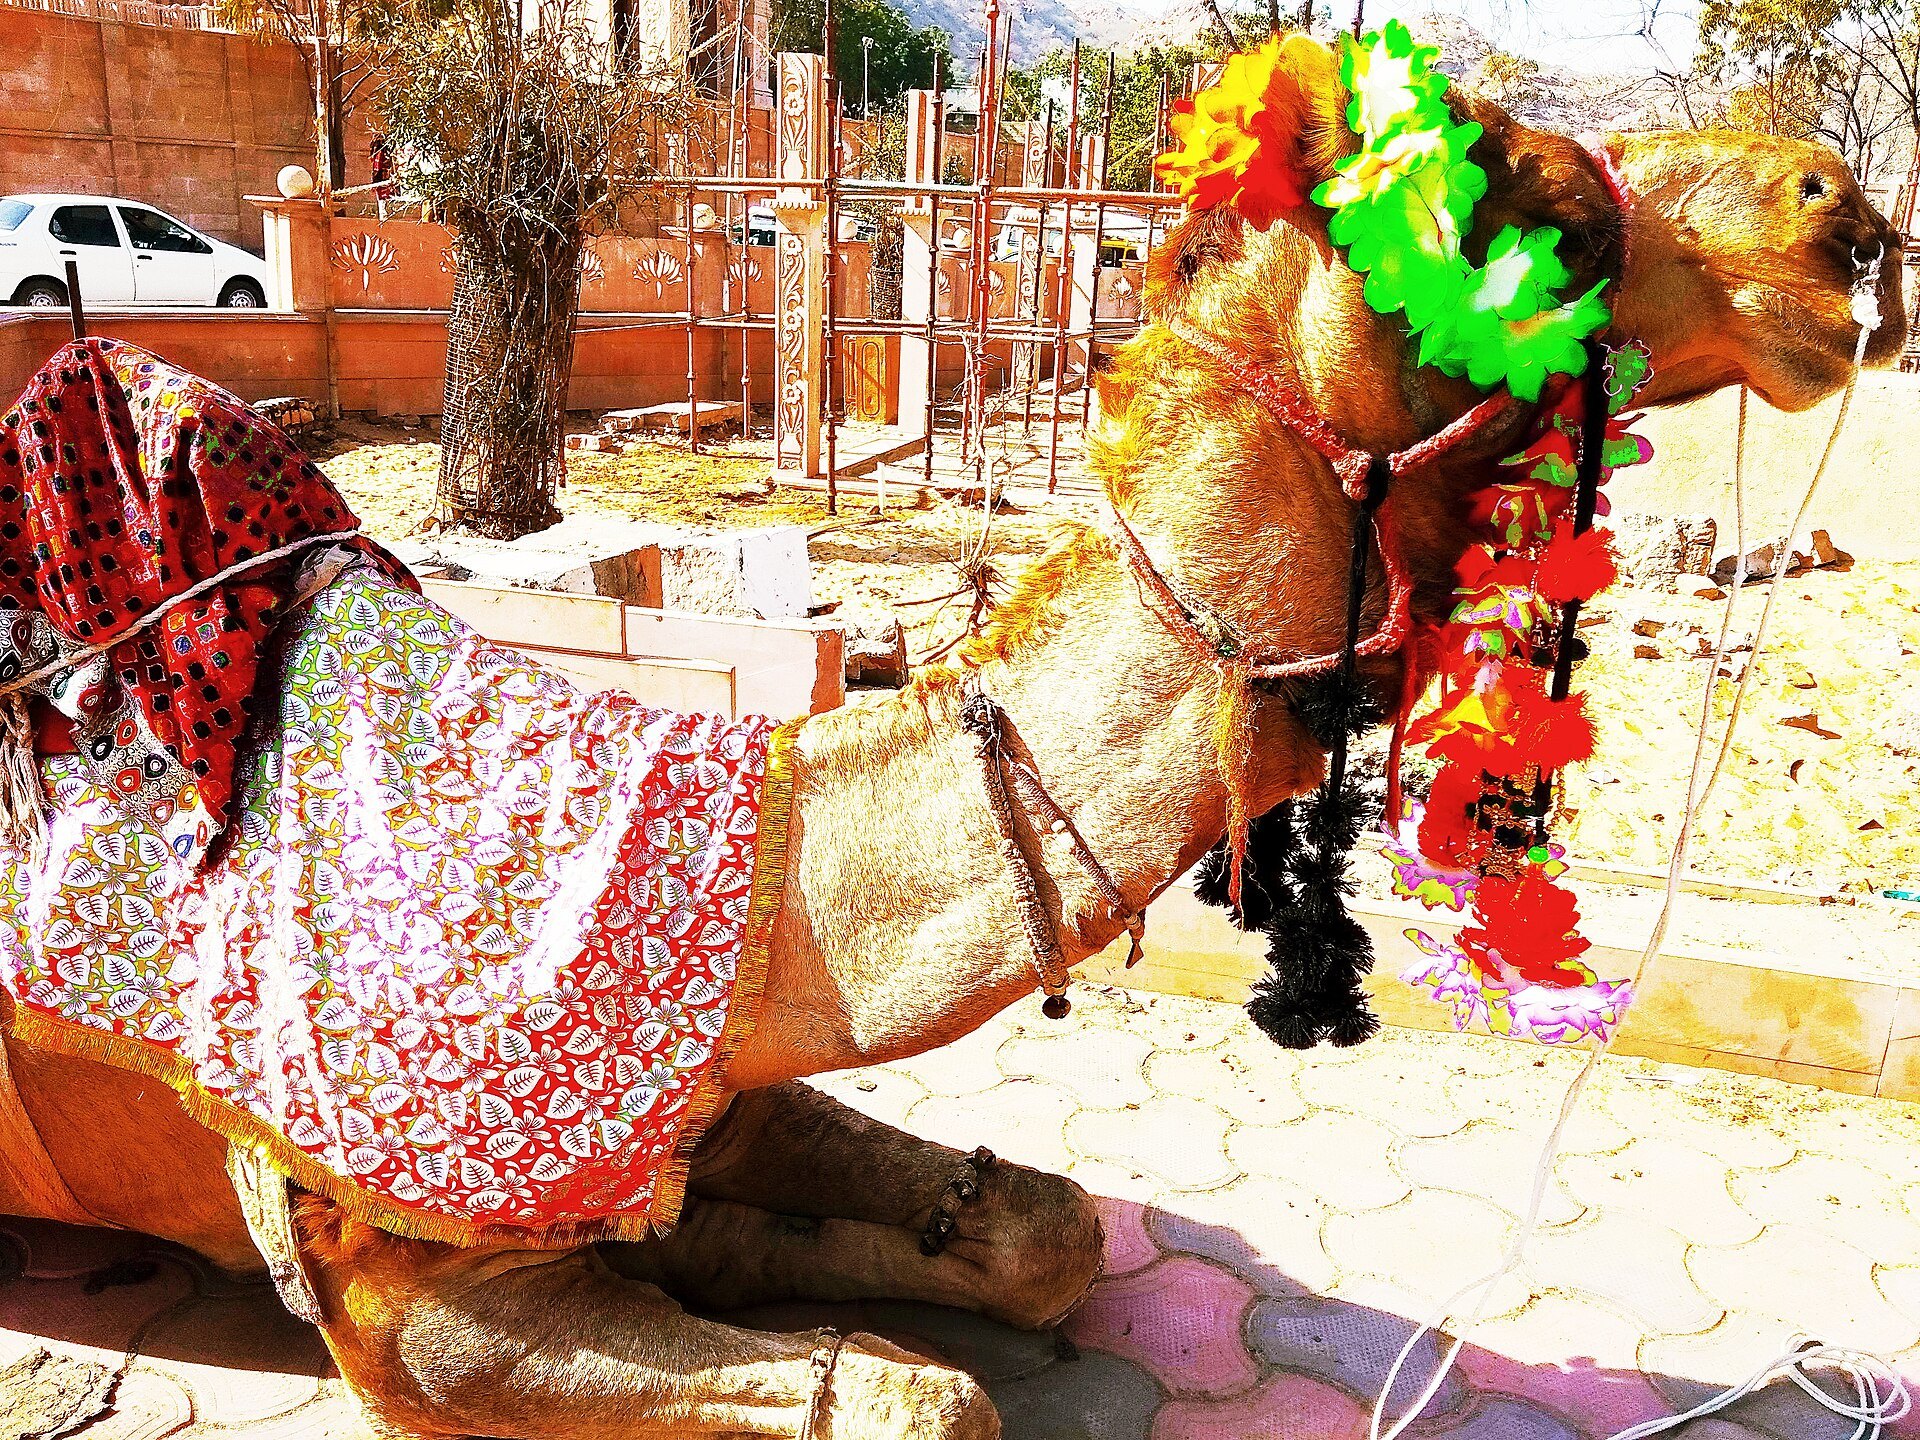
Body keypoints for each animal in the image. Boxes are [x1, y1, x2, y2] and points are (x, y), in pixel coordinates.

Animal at [0, 38, 1906, 1438]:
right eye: (1528, 195)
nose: (1841, 212)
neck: (739, 868)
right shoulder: (401, 1291)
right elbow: (925, 1402)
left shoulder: (715, 1091)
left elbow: (1038, 1228)